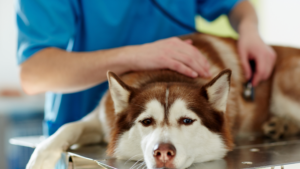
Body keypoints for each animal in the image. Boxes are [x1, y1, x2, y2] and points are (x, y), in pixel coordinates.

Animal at [25, 33, 300, 169]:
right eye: (147, 121)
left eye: (187, 121)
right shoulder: (102, 119)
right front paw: (39, 159)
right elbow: (67, 127)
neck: (166, 73)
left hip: (284, 82)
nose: (163, 153)